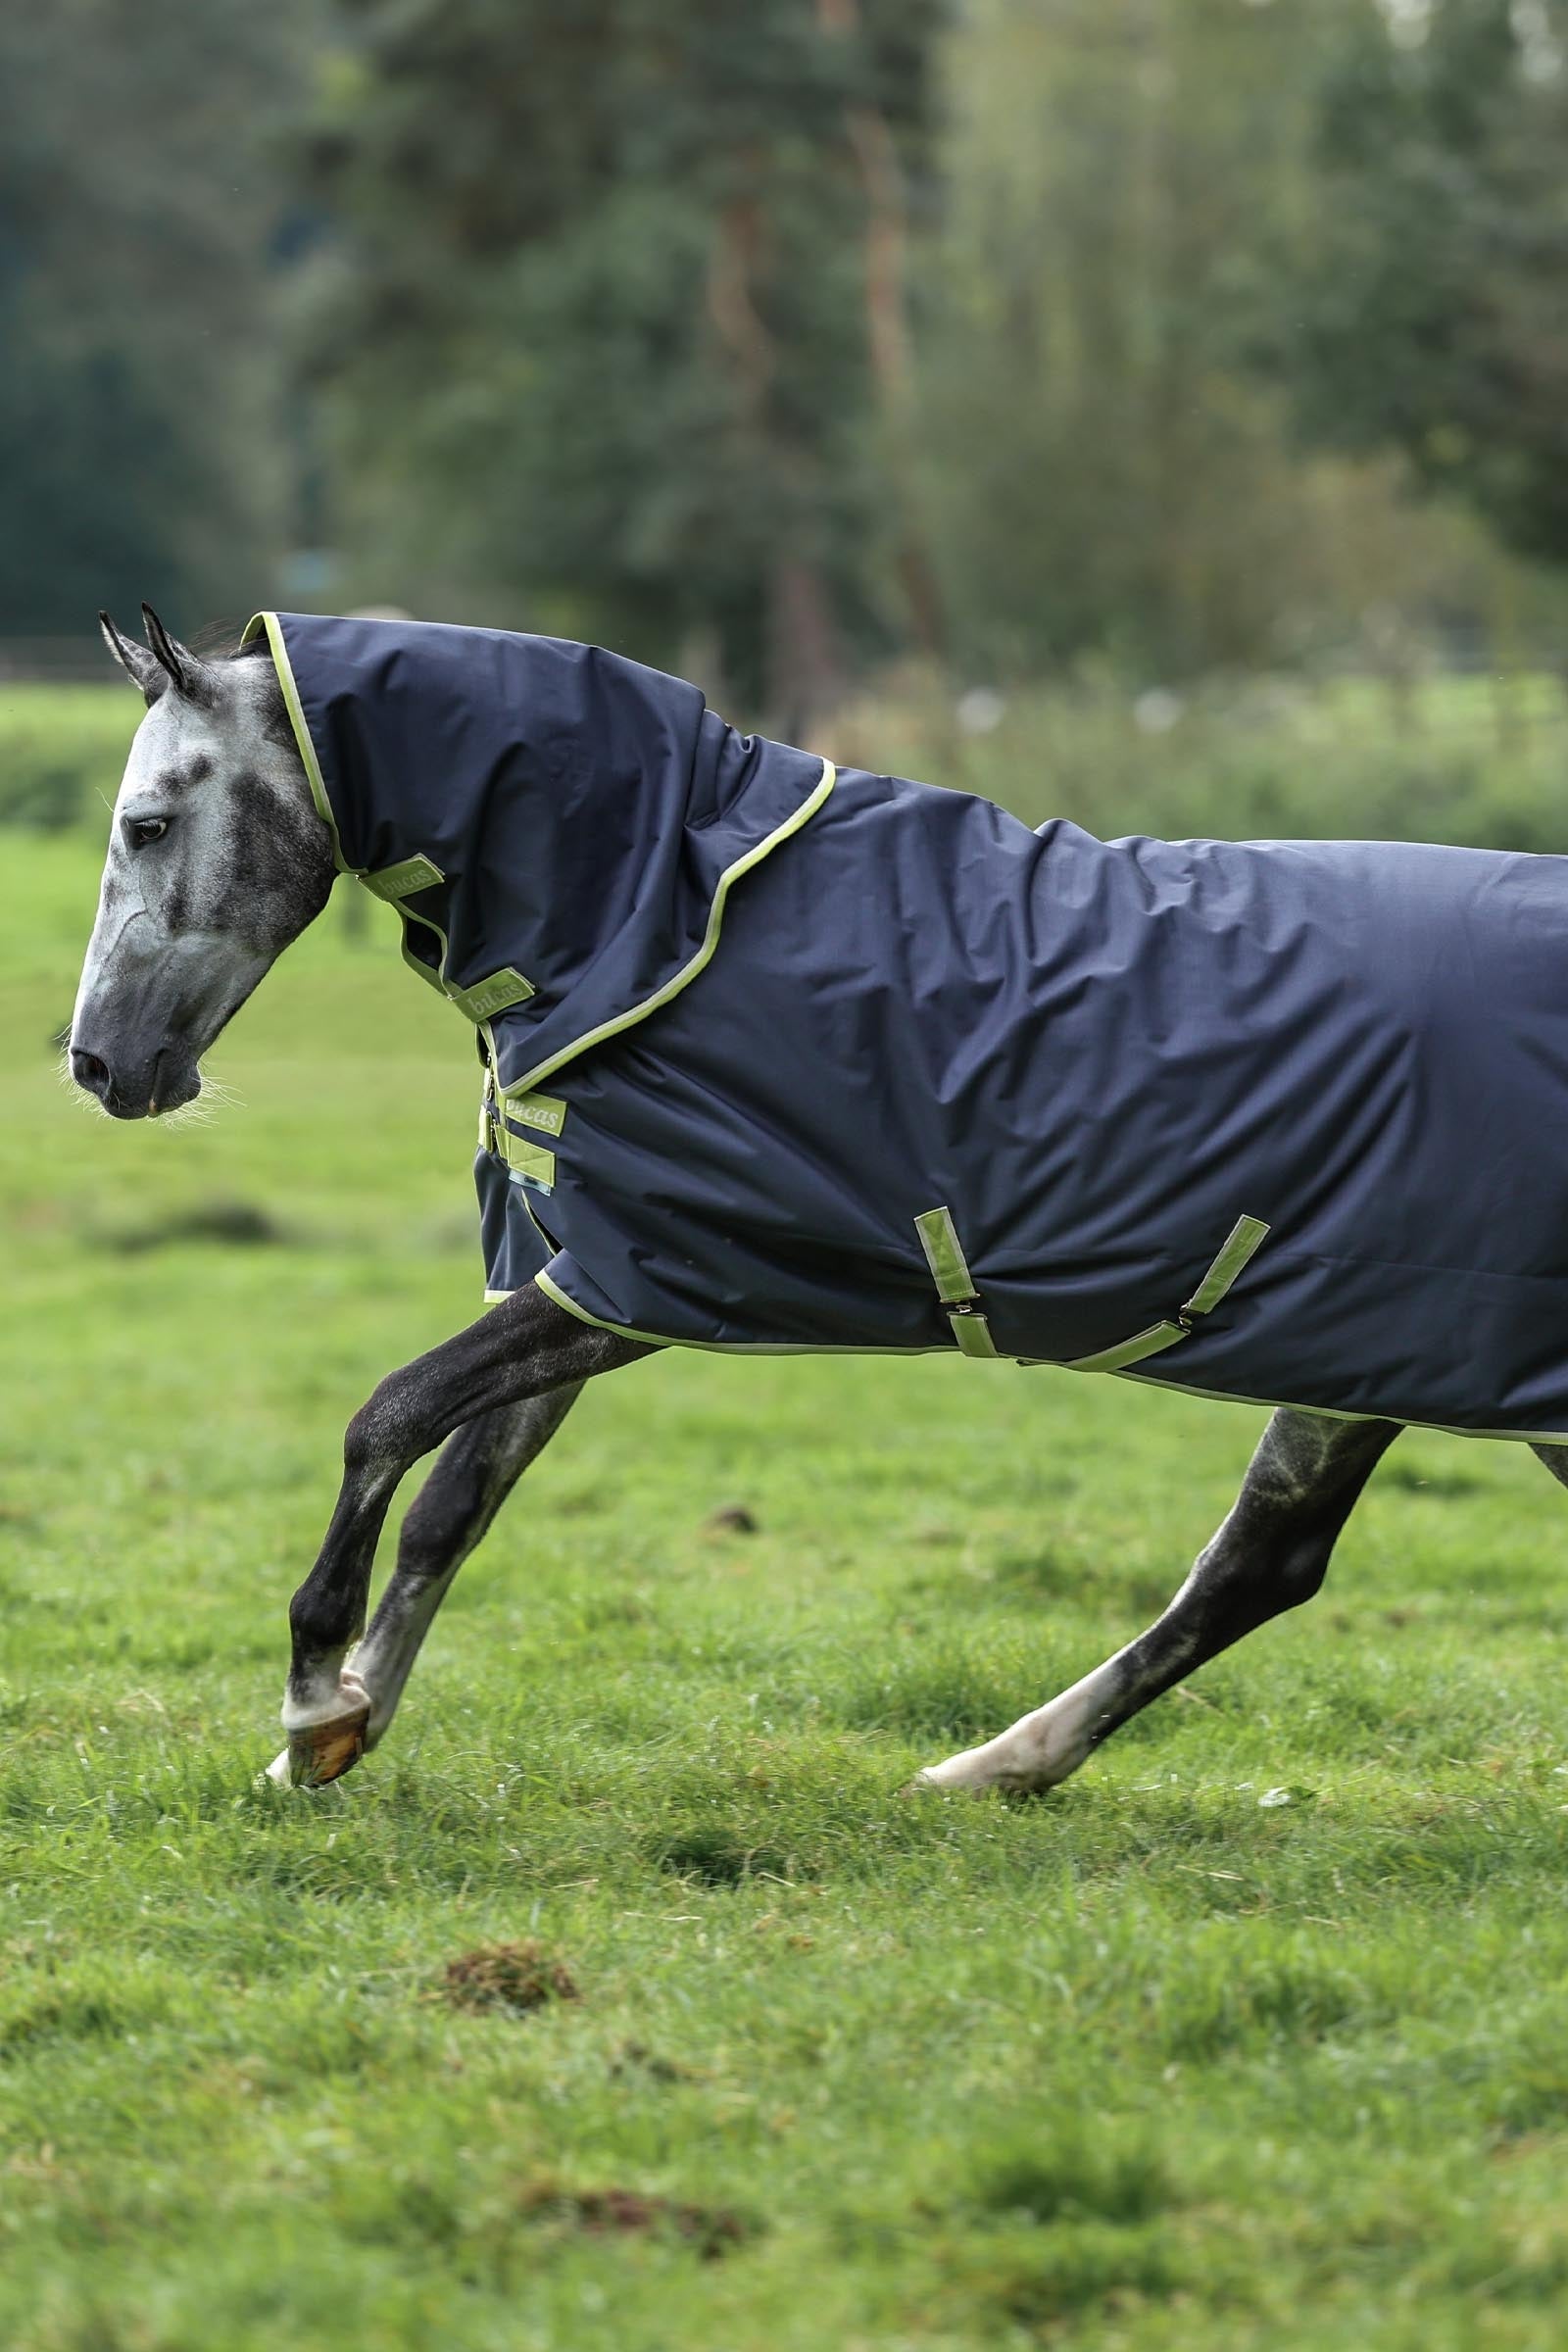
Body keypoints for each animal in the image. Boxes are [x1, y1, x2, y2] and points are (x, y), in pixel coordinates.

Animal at [70, 605, 1568, 1794]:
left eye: (148, 824)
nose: (99, 1065)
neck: (659, 905)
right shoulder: (583, 1276)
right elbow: (458, 1493)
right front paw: (342, 1733)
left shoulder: (641, 1282)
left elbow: (387, 1418)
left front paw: (310, 1694)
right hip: (1381, 1359)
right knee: (1265, 1561)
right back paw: (996, 1771)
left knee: (1261, 1562)